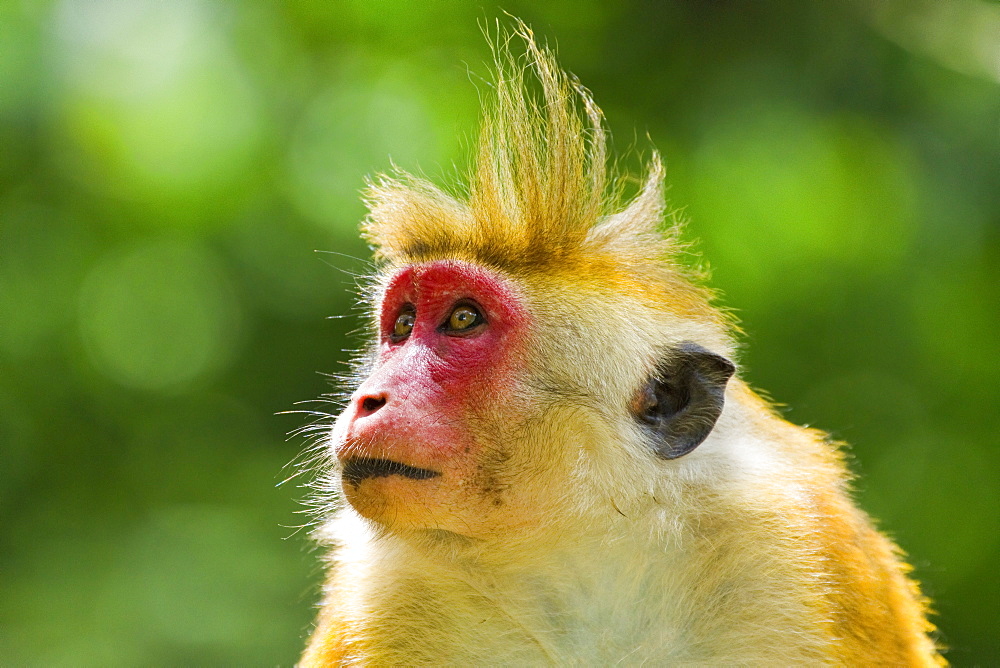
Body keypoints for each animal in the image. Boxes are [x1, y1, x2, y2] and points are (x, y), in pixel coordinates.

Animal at [298, 23, 944, 664]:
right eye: (404, 325)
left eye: (462, 319)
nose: (369, 400)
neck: (585, 551)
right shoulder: (385, 596)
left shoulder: (797, 557)